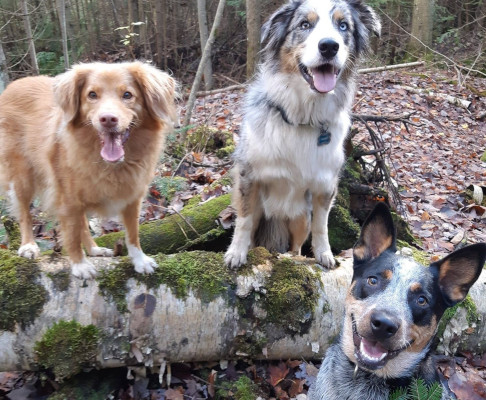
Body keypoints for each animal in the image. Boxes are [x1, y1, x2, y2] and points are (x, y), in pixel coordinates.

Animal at [0, 61, 178, 278]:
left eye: (127, 94)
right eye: (92, 95)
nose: (108, 119)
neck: (110, 164)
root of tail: (13, 85)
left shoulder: (132, 197)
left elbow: (132, 233)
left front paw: (139, 259)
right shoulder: (67, 199)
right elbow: (72, 235)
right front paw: (79, 264)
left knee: (82, 224)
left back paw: (94, 249)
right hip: (22, 177)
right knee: (25, 213)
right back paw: (28, 246)